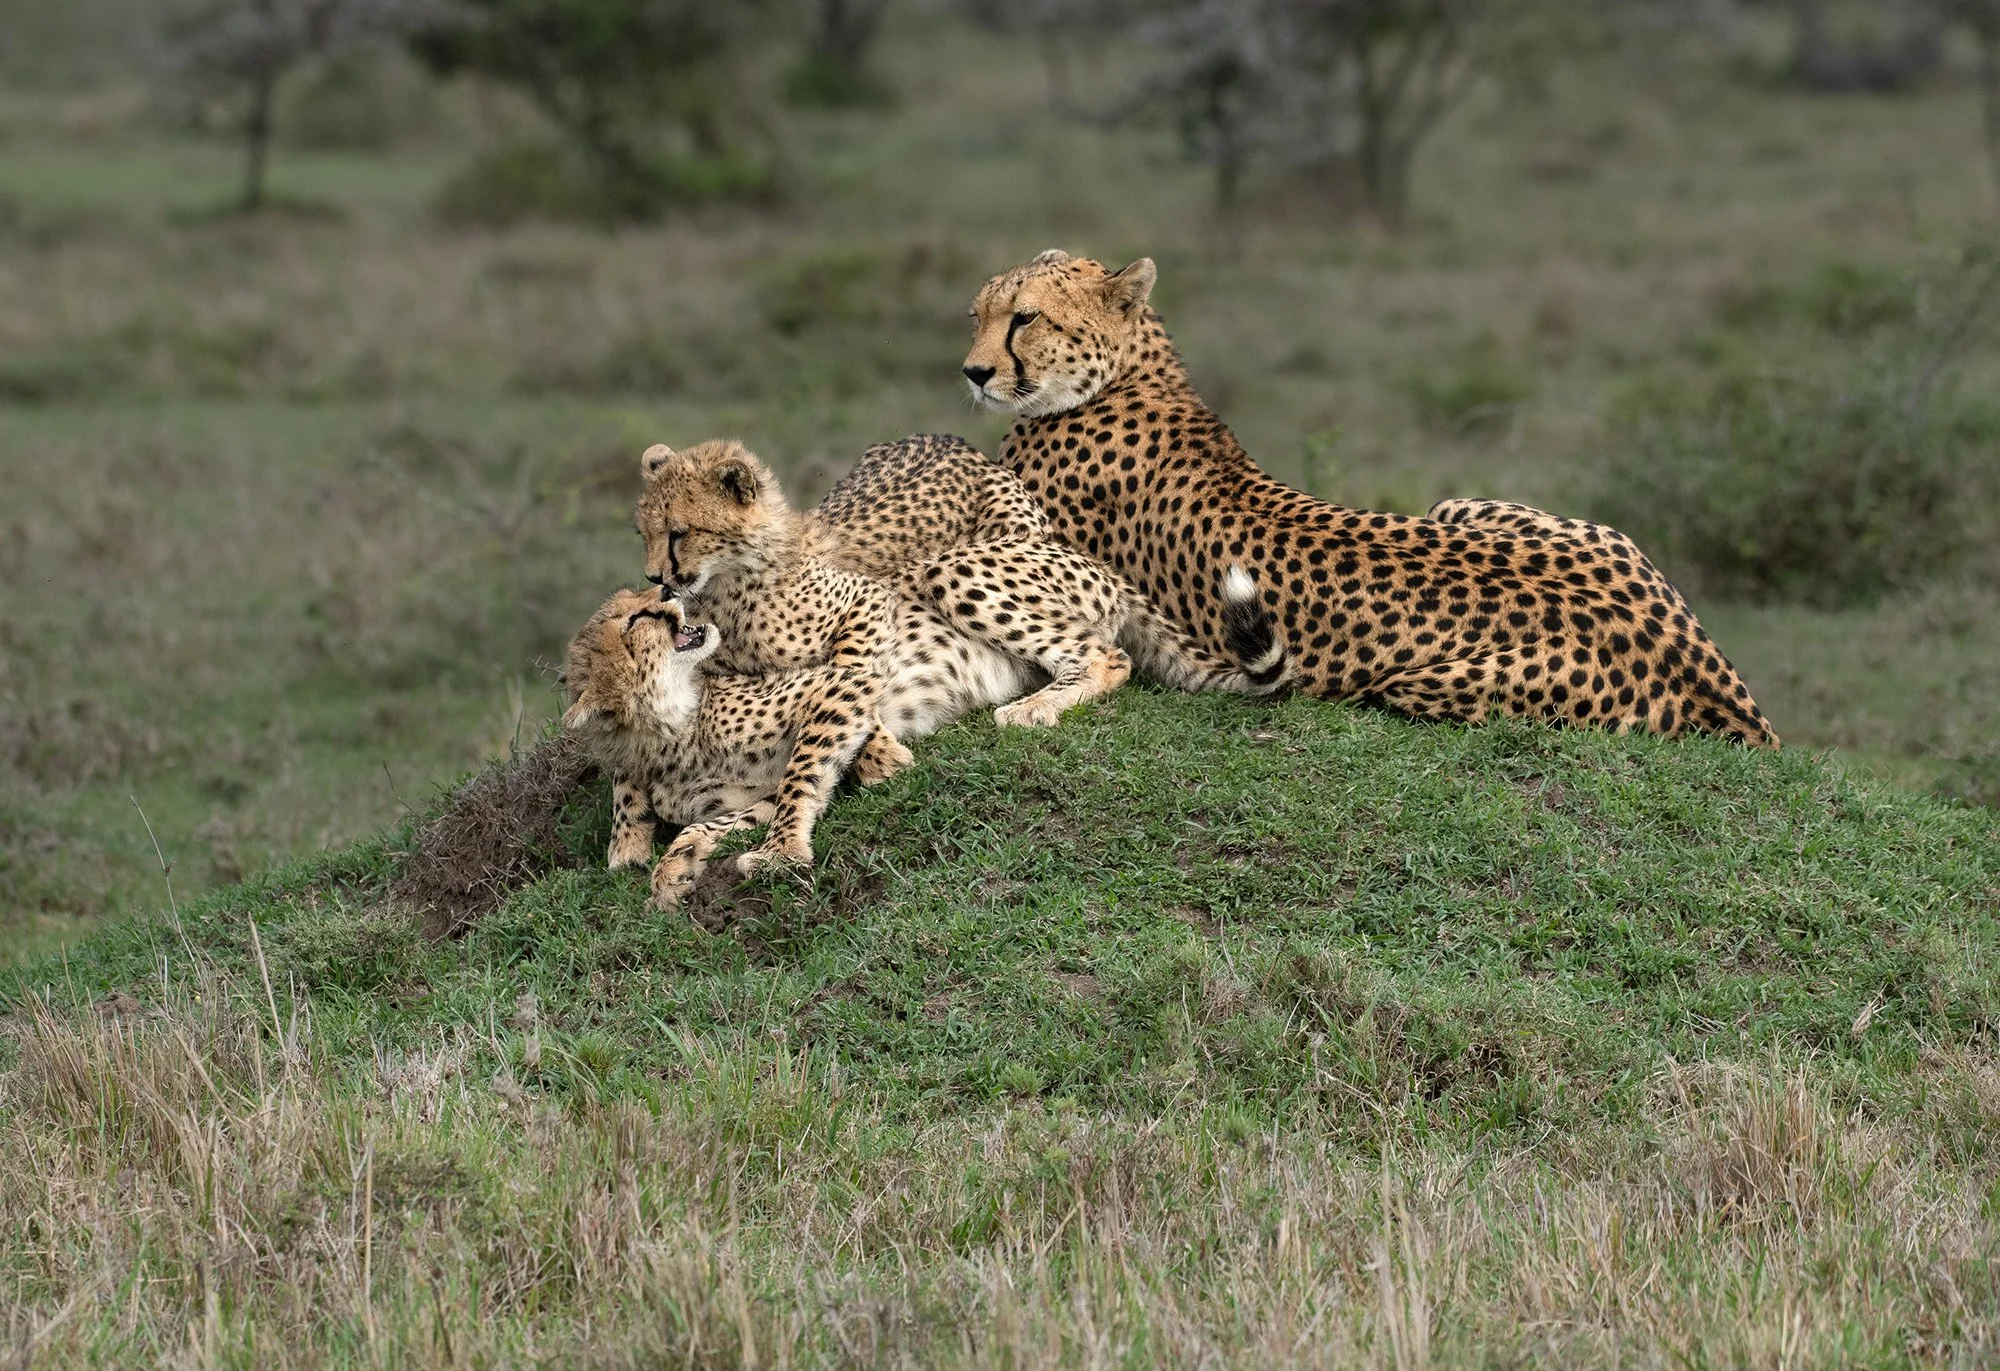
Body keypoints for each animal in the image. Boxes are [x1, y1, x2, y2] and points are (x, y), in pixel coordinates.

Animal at [961, 249, 1778, 747]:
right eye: (978, 313)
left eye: (1025, 317)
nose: (972, 371)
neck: (1128, 374)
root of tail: (1714, 674)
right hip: (1470, 509)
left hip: (1419, 684)